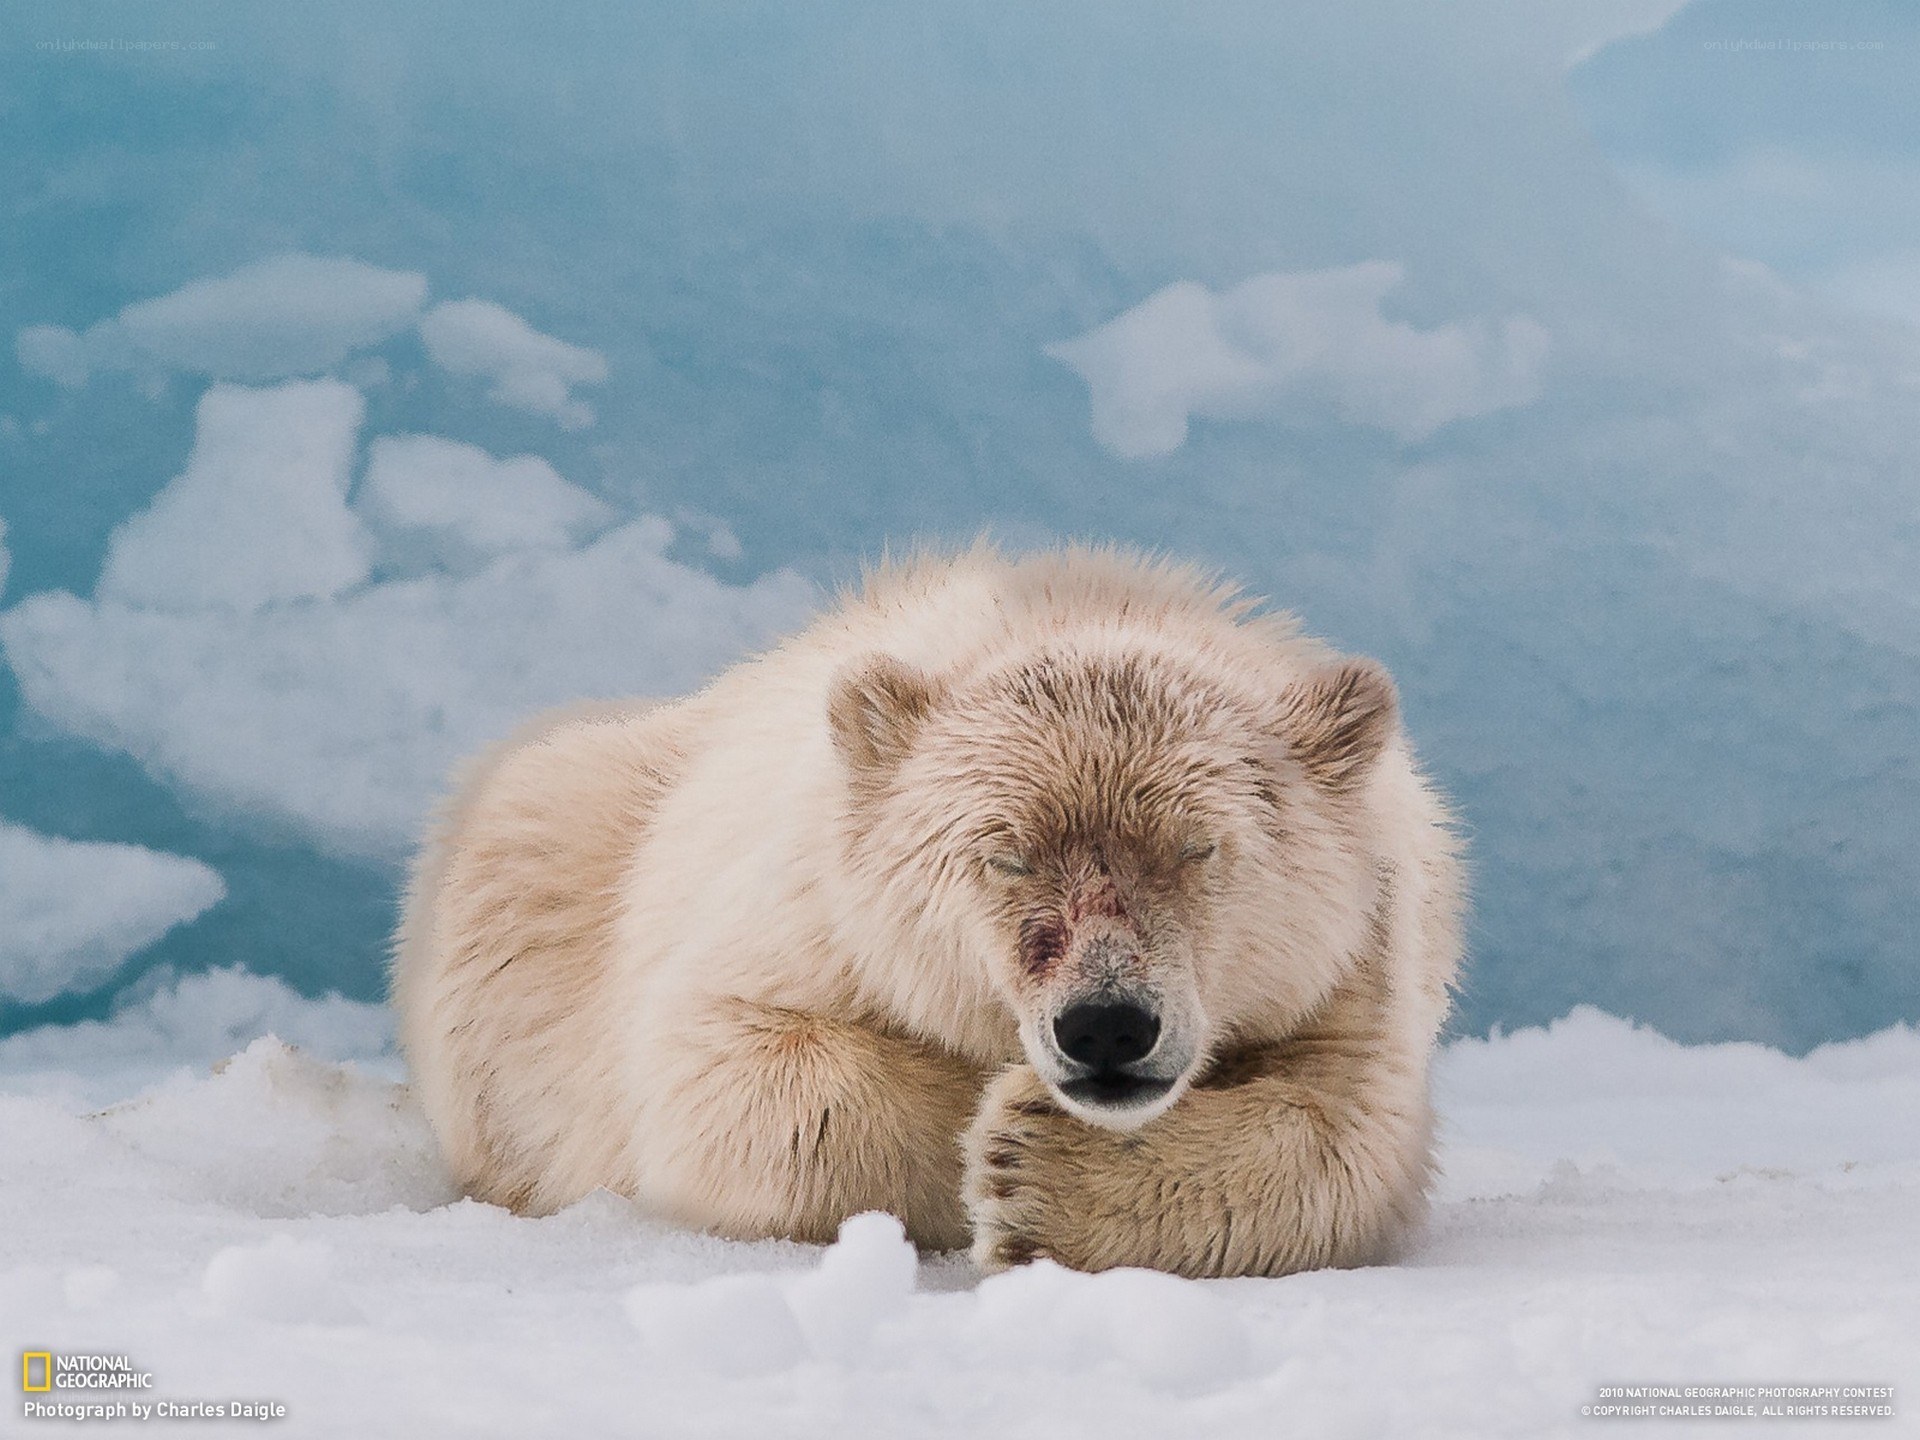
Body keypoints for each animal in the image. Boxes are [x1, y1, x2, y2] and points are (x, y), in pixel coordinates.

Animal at [393, 545, 1464, 1277]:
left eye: (1198, 848)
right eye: (1005, 853)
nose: (1106, 1025)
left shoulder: (1358, 956)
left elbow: (1350, 1135)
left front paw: (1036, 1167)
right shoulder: (812, 908)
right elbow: (729, 1075)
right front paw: (988, 1131)